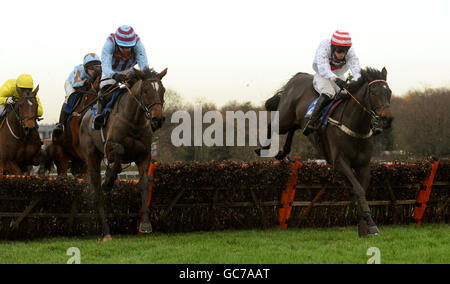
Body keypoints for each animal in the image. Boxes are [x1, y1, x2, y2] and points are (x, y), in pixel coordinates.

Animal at [79, 67, 167, 242]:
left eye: (163, 90)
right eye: (145, 90)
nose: (158, 119)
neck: (134, 120)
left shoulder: (144, 156)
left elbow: (144, 185)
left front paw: (145, 224)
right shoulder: (109, 146)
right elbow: (119, 151)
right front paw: (109, 180)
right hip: (91, 156)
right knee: (97, 191)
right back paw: (106, 231)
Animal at [256, 67, 394, 237]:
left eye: (389, 92)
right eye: (374, 92)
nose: (387, 119)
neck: (354, 126)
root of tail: (298, 77)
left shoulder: (363, 165)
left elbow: (360, 190)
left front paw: (364, 227)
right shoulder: (340, 162)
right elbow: (359, 190)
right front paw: (371, 225)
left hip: (297, 120)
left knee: (294, 128)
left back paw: (284, 151)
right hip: (285, 118)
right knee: (273, 125)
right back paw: (263, 148)